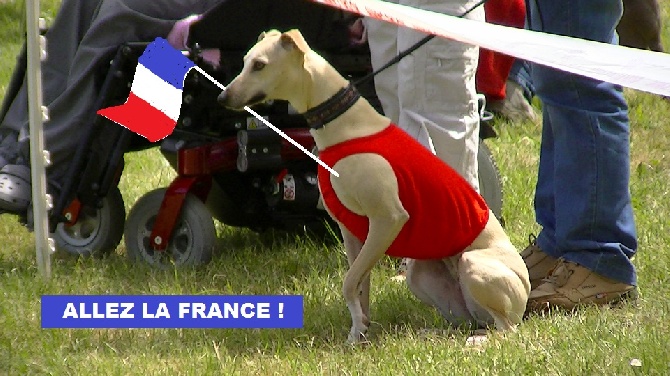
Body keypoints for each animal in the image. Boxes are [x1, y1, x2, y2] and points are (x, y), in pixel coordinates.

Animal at [218, 29, 532, 344]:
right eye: (245, 61)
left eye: (259, 65)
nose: (222, 96)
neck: (345, 123)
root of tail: (527, 292)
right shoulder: (353, 231)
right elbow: (359, 286)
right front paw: (359, 333)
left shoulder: (387, 220)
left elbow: (348, 283)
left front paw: (357, 331)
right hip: (423, 278)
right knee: (468, 321)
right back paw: (436, 332)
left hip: (475, 267)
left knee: (506, 329)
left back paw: (479, 341)